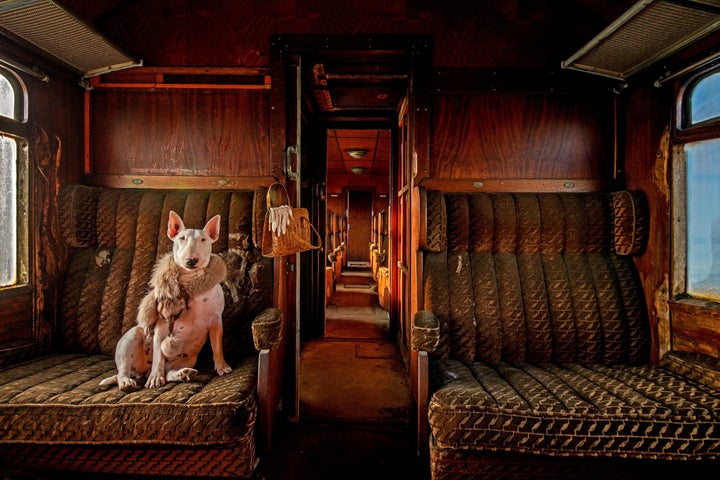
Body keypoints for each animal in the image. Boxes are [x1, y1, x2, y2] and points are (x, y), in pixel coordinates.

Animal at [100, 212, 231, 392]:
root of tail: (143, 372)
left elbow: (217, 346)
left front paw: (222, 367)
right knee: (124, 370)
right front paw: (156, 378)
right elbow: (159, 356)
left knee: (169, 373)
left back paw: (183, 374)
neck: (191, 284)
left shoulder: (216, 320)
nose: (191, 260)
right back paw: (131, 380)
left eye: (203, 239)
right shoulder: (162, 325)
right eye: (181, 238)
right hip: (131, 339)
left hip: (188, 358)